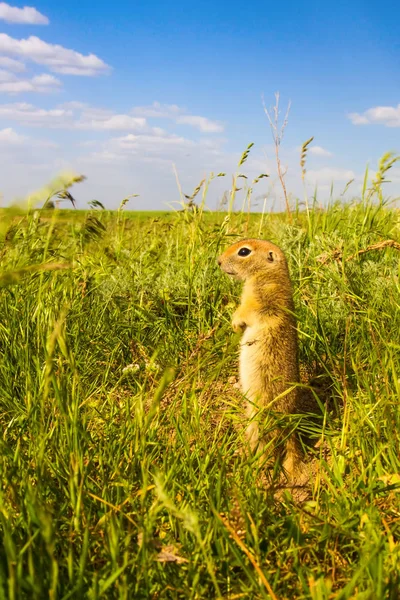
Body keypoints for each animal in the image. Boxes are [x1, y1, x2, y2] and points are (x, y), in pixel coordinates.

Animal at [219, 239, 306, 478]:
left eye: (244, 251)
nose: (218, 261)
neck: (266, 274)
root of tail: (288, 426)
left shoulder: (261, 300)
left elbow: (247, 312)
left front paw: (235, 323)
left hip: (261, 421)